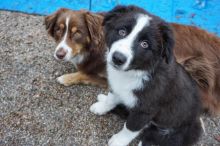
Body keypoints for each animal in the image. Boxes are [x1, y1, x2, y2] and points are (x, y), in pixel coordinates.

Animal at [45, 8, 220, 115]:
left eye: (77, 33)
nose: (59, 54)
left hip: (195, 66)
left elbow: (84, 74)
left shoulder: (109, 76)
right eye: (59, 30)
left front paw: (66, 78)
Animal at [89, 5, 201, 145]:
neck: (136, 72)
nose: (118, 58)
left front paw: (119, 141)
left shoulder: (145, 110)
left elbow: (130, 127)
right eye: (122, 32)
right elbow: (111, 98)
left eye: (144, 44)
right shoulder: (117, 87)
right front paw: (102, 107)